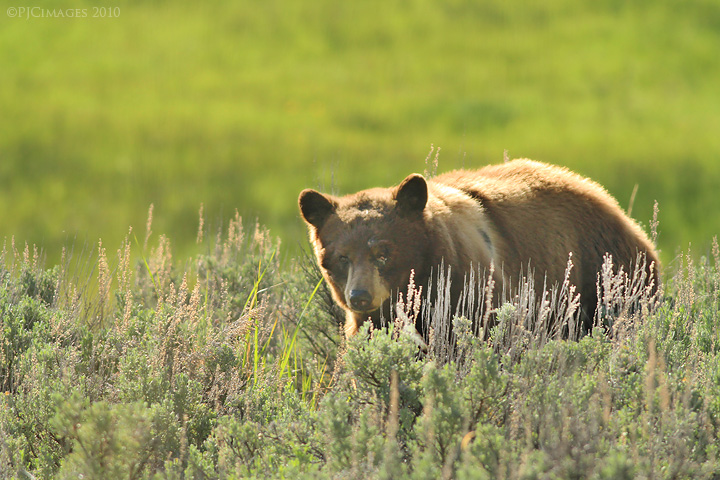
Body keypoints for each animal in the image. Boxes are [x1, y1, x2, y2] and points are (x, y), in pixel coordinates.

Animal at [298, 159, 659, 339]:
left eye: (384, 253)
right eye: (342, 257)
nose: (360, 296)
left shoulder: (473, 289)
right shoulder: (372, 322)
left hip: (608, 277)